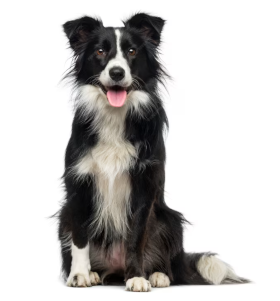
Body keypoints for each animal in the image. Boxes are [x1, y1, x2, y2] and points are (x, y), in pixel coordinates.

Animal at [57, 12, 247, 290]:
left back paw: (157, 275)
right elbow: (80, 237)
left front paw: (137, 276)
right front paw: (79, 274)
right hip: (63, 217)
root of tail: (115, 268)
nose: (116, 72)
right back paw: (94, 273)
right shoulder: (79, 183)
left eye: (132, 51)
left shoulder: (144, 186)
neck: (115, 117)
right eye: (100, 51)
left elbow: (136, 237)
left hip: (170, 219)